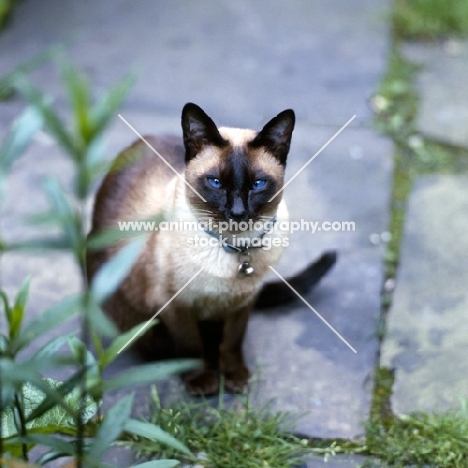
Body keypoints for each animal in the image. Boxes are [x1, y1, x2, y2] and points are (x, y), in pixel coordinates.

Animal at [87, 103, 336, 394]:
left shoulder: (243, 302)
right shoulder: (175, 304)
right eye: (215, 182)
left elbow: (232, 342)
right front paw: (201, 381)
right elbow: (190, 345)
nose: (237, 212)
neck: (235, 248)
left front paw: (235, 378)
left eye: (257, 185)